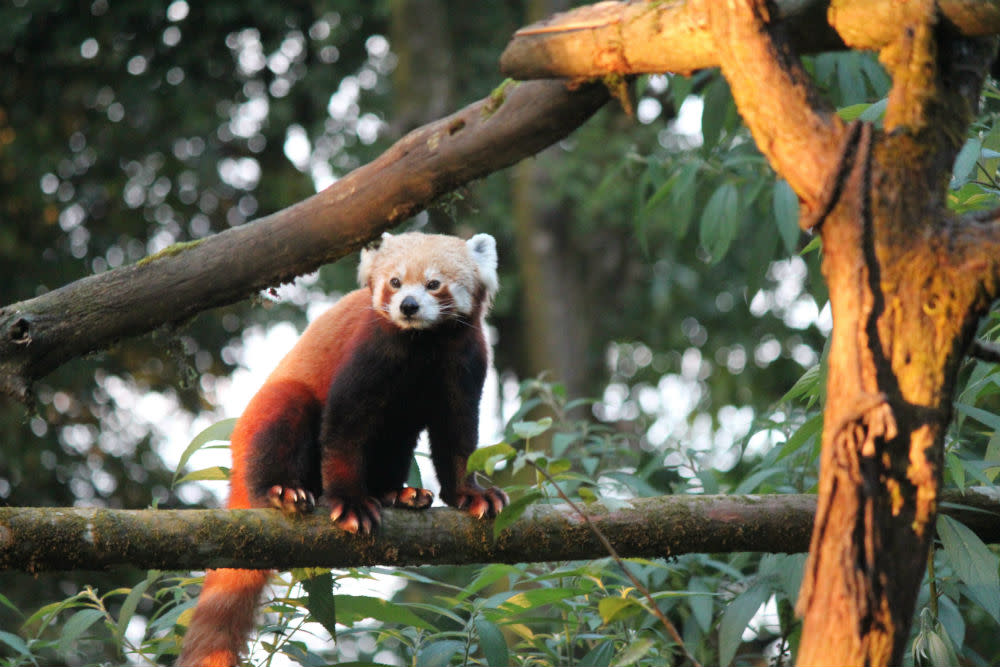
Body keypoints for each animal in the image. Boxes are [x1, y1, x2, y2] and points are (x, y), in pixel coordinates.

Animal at [177, 234, 508, 667]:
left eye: (433, 284)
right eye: (395, 282)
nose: (408, 306)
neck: (424, 343)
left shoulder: (464, 359)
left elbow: (457, 437)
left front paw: (471, 494)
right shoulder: (369, 352)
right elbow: (345, 429)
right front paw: (351, 502)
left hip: (395, 440)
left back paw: (398, 493)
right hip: (266, 420)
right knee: (287, 413)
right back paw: (282, 491)